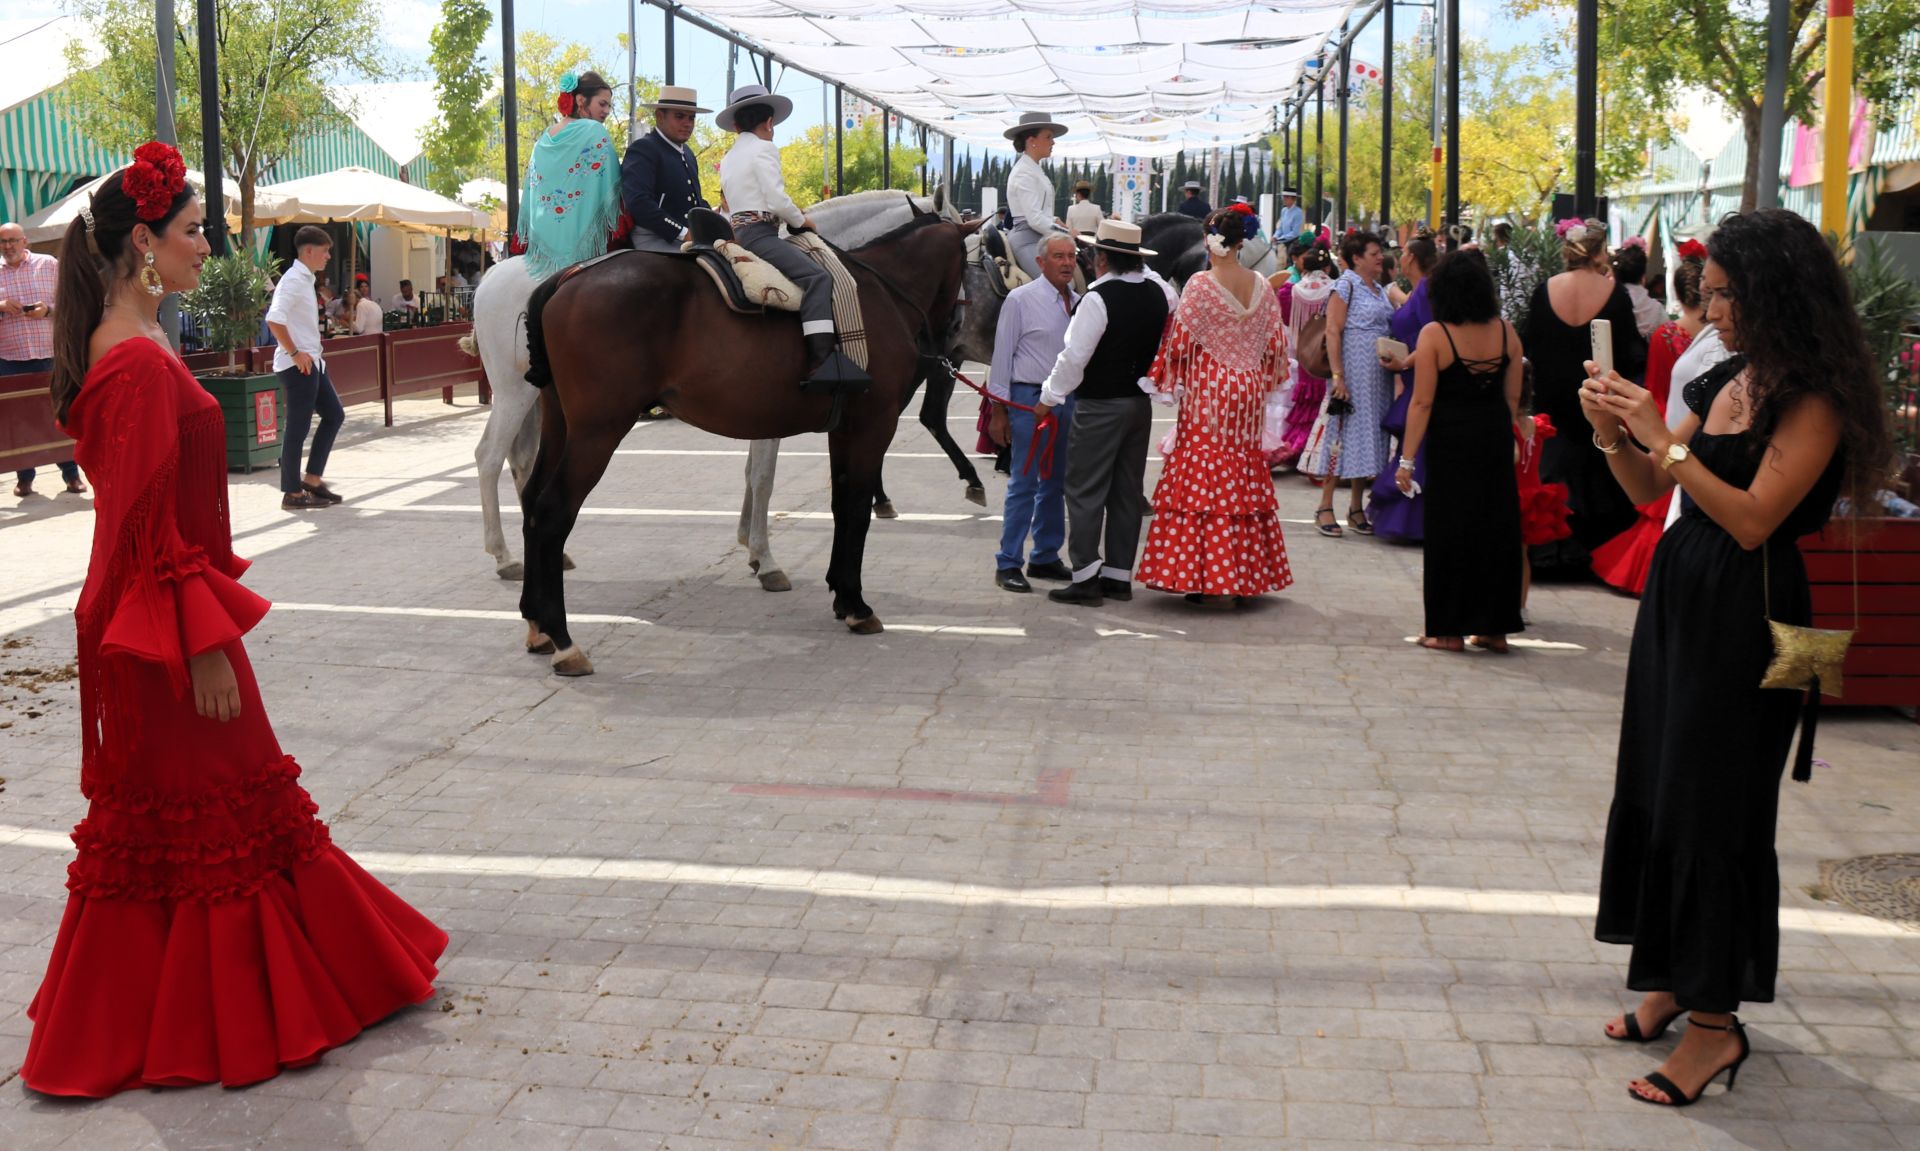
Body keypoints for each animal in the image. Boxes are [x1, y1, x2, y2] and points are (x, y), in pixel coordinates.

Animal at [466, 190, 960, 591]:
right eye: (971, 258)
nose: (952, 335)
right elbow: (763, 477)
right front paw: (765, 557)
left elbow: (754, 474)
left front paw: (753, 549)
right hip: (516, 394)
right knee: (489, 457)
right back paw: (504, 556)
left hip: (544, 402)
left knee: (523, 462)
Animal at [522, 209, 983, 676]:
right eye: (978, 262)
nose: (954, 338)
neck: (881, 292)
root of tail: (570, 275)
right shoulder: (874, 424)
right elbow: (856, 509)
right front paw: (856, 604)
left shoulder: (844, 428)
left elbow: (841, 505)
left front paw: (841, 592)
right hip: (598, 430)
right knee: (553, 511)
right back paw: (564, 640)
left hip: (561, 423)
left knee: (530, 501)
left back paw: (536, 622)